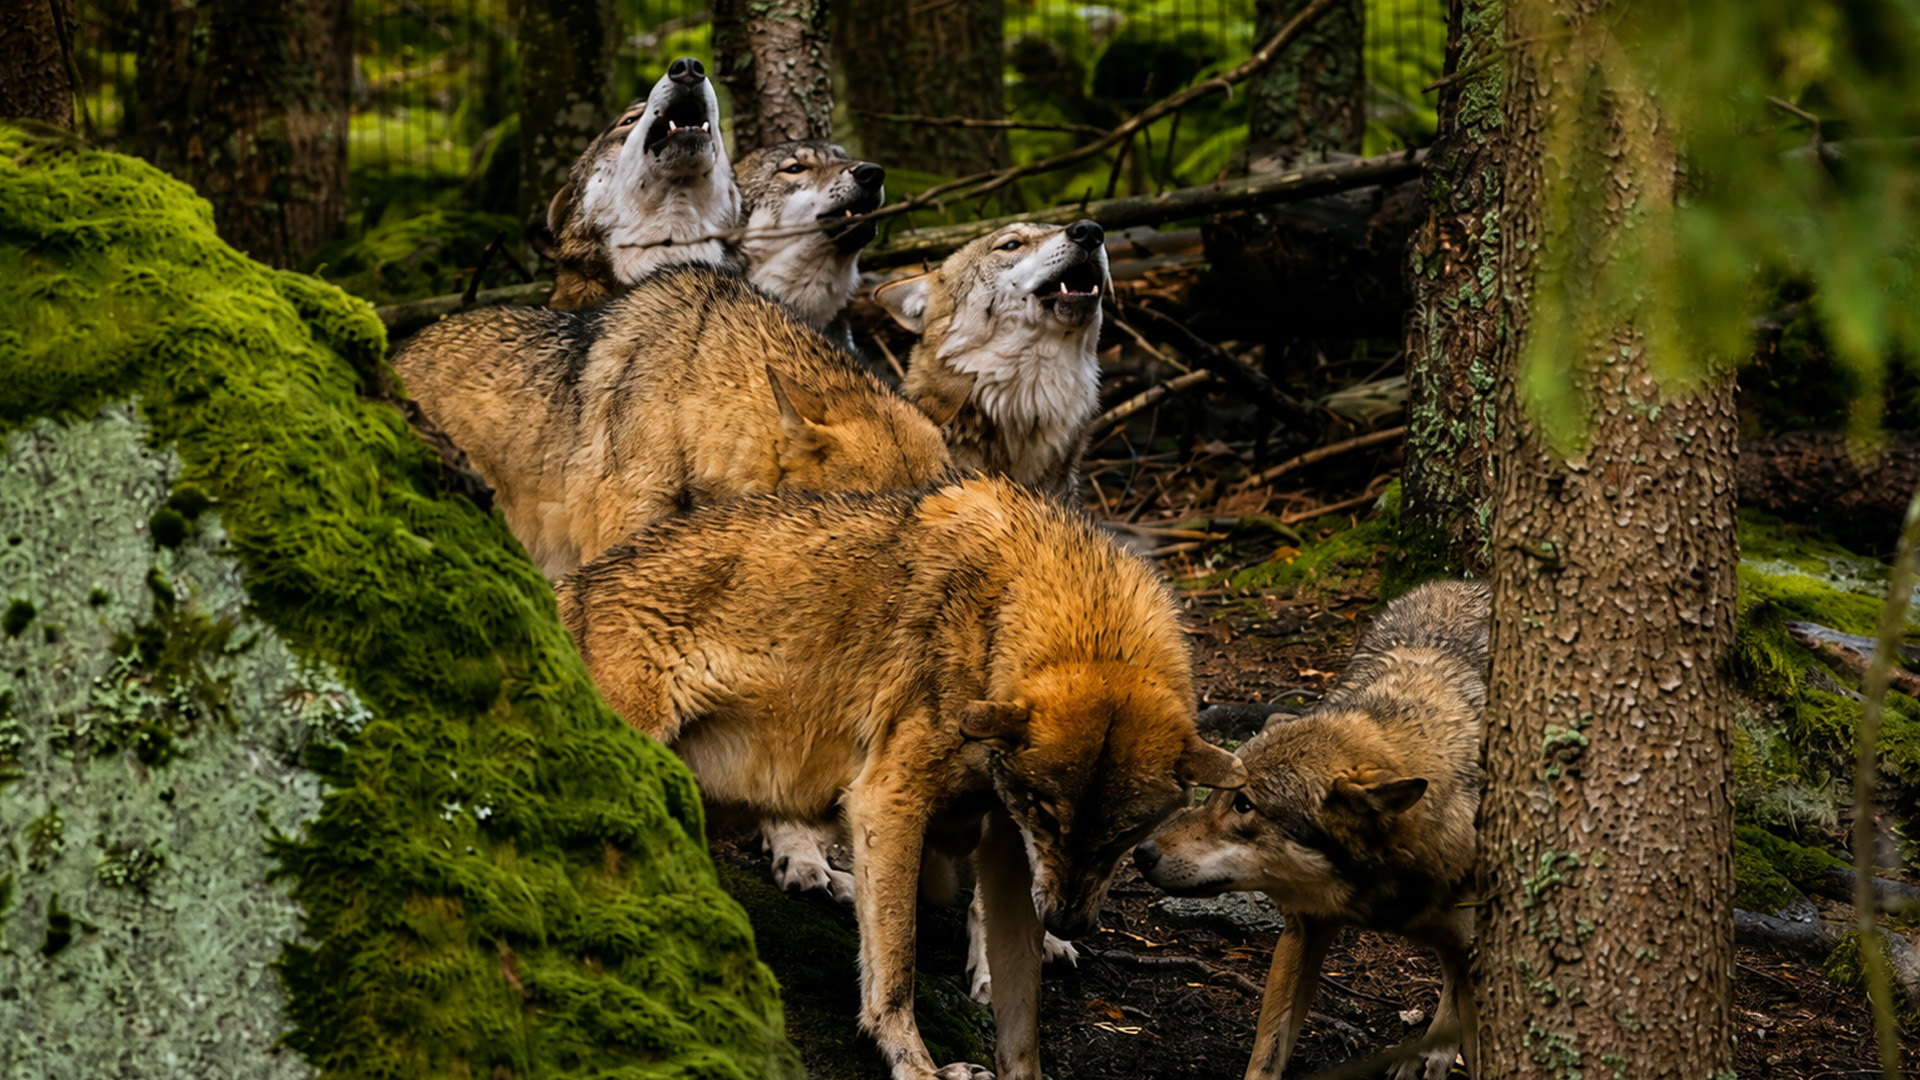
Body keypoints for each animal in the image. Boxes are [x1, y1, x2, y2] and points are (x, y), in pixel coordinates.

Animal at [557, 476, 1247, 1080]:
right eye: (1046, 814)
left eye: (1121, 838)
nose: (1067, 922)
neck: (1008, 607)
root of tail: (567, 590)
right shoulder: (887, 803)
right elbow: (896, 970)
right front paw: (918, 1067)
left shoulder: (1007, 850)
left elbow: (1021, 1020)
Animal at [1134, 580, 1490, 1080]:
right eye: (1219, 793)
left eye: (1245, 806)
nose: (1142, 853)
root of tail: (1466, 581)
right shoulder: (1302, 930)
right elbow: (1266, 1055)